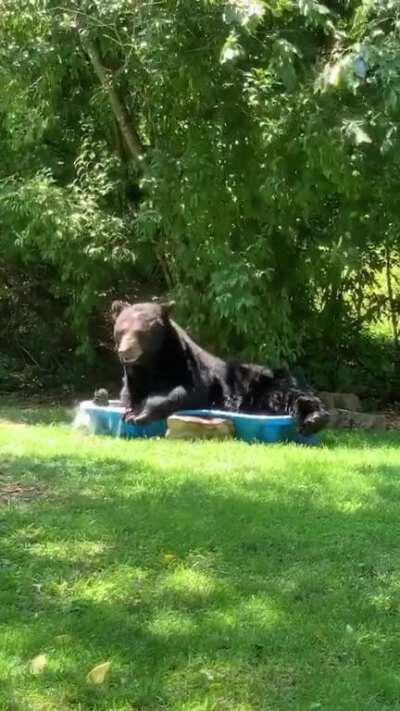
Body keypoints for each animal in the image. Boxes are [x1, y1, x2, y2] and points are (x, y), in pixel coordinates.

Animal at [111, 300, 329, 435]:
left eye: (142, 332)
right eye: (121, 329)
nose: (125, 351)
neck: (153, 365)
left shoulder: (192, 372)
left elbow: (182, 393)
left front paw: (137, 414)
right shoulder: (134, 381)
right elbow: (129, 395)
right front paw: (133, 409)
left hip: (265, 382)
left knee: (291, 394)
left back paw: (314, 419)